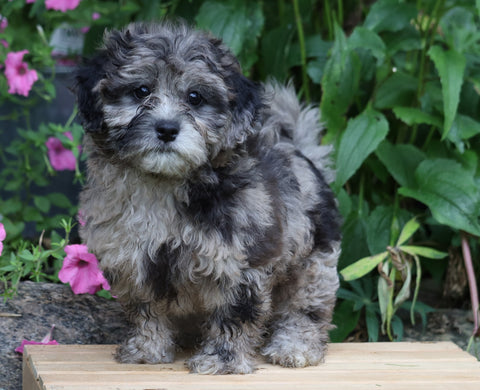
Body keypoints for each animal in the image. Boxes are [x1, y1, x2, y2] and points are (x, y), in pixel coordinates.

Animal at [75, 22, 342, 374]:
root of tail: (301, 152)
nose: (167, 128)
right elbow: (145, 310)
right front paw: (146, 350)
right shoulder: (131, 259)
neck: (164, 185)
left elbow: (234, 313)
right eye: (141, 91)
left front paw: (223, 360)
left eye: (195, 97)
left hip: (314, 262)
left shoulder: (240, 261)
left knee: (306, 308)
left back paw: (295, 347)